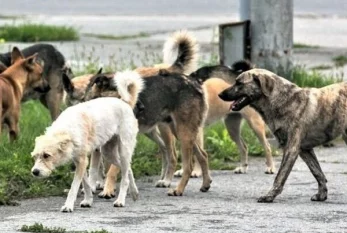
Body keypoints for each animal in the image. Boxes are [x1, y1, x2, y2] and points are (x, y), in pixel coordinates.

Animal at [30, 70, 143, 212]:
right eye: (35, 157)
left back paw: (120, 200)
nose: (34, 172)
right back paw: (134, 192)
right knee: (127, 170)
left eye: (46, 155)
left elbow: (74, 186)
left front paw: (68, 205)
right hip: (108, 153)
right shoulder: (79, 161)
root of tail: (124, 102)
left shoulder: (82, 161)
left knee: (125, 177)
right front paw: (88, 200)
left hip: (123, 150)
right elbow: (86, 183)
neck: (66, 130)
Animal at [218, 68, 347, 203]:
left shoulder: (291, 149)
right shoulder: (304, 150)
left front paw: (269, 196)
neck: (283, 101)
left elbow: (280, 176)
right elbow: (317, 172)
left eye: (239, 83)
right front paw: (322, 194)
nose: (219, 94)